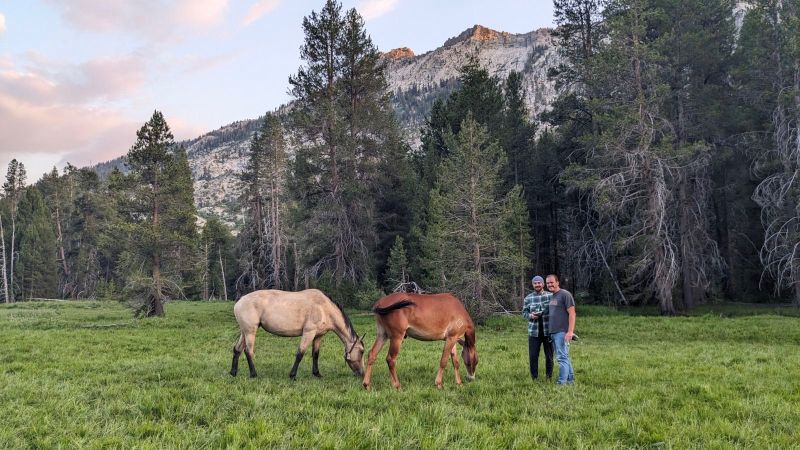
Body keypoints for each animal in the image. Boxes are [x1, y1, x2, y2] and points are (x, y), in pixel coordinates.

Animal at [230, 290, 364, 382]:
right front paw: (292, 375)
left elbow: (316, 355)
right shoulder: (309, 333)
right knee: (248, 351)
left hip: (244, 332)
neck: (323, 308)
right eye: (362, 351)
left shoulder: (318, 336)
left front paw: (317, 373)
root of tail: (240, 301)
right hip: (250, 331)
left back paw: (233, 373)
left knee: (237, 349)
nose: (362, 373)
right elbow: (300, 353)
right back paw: (253, 374)